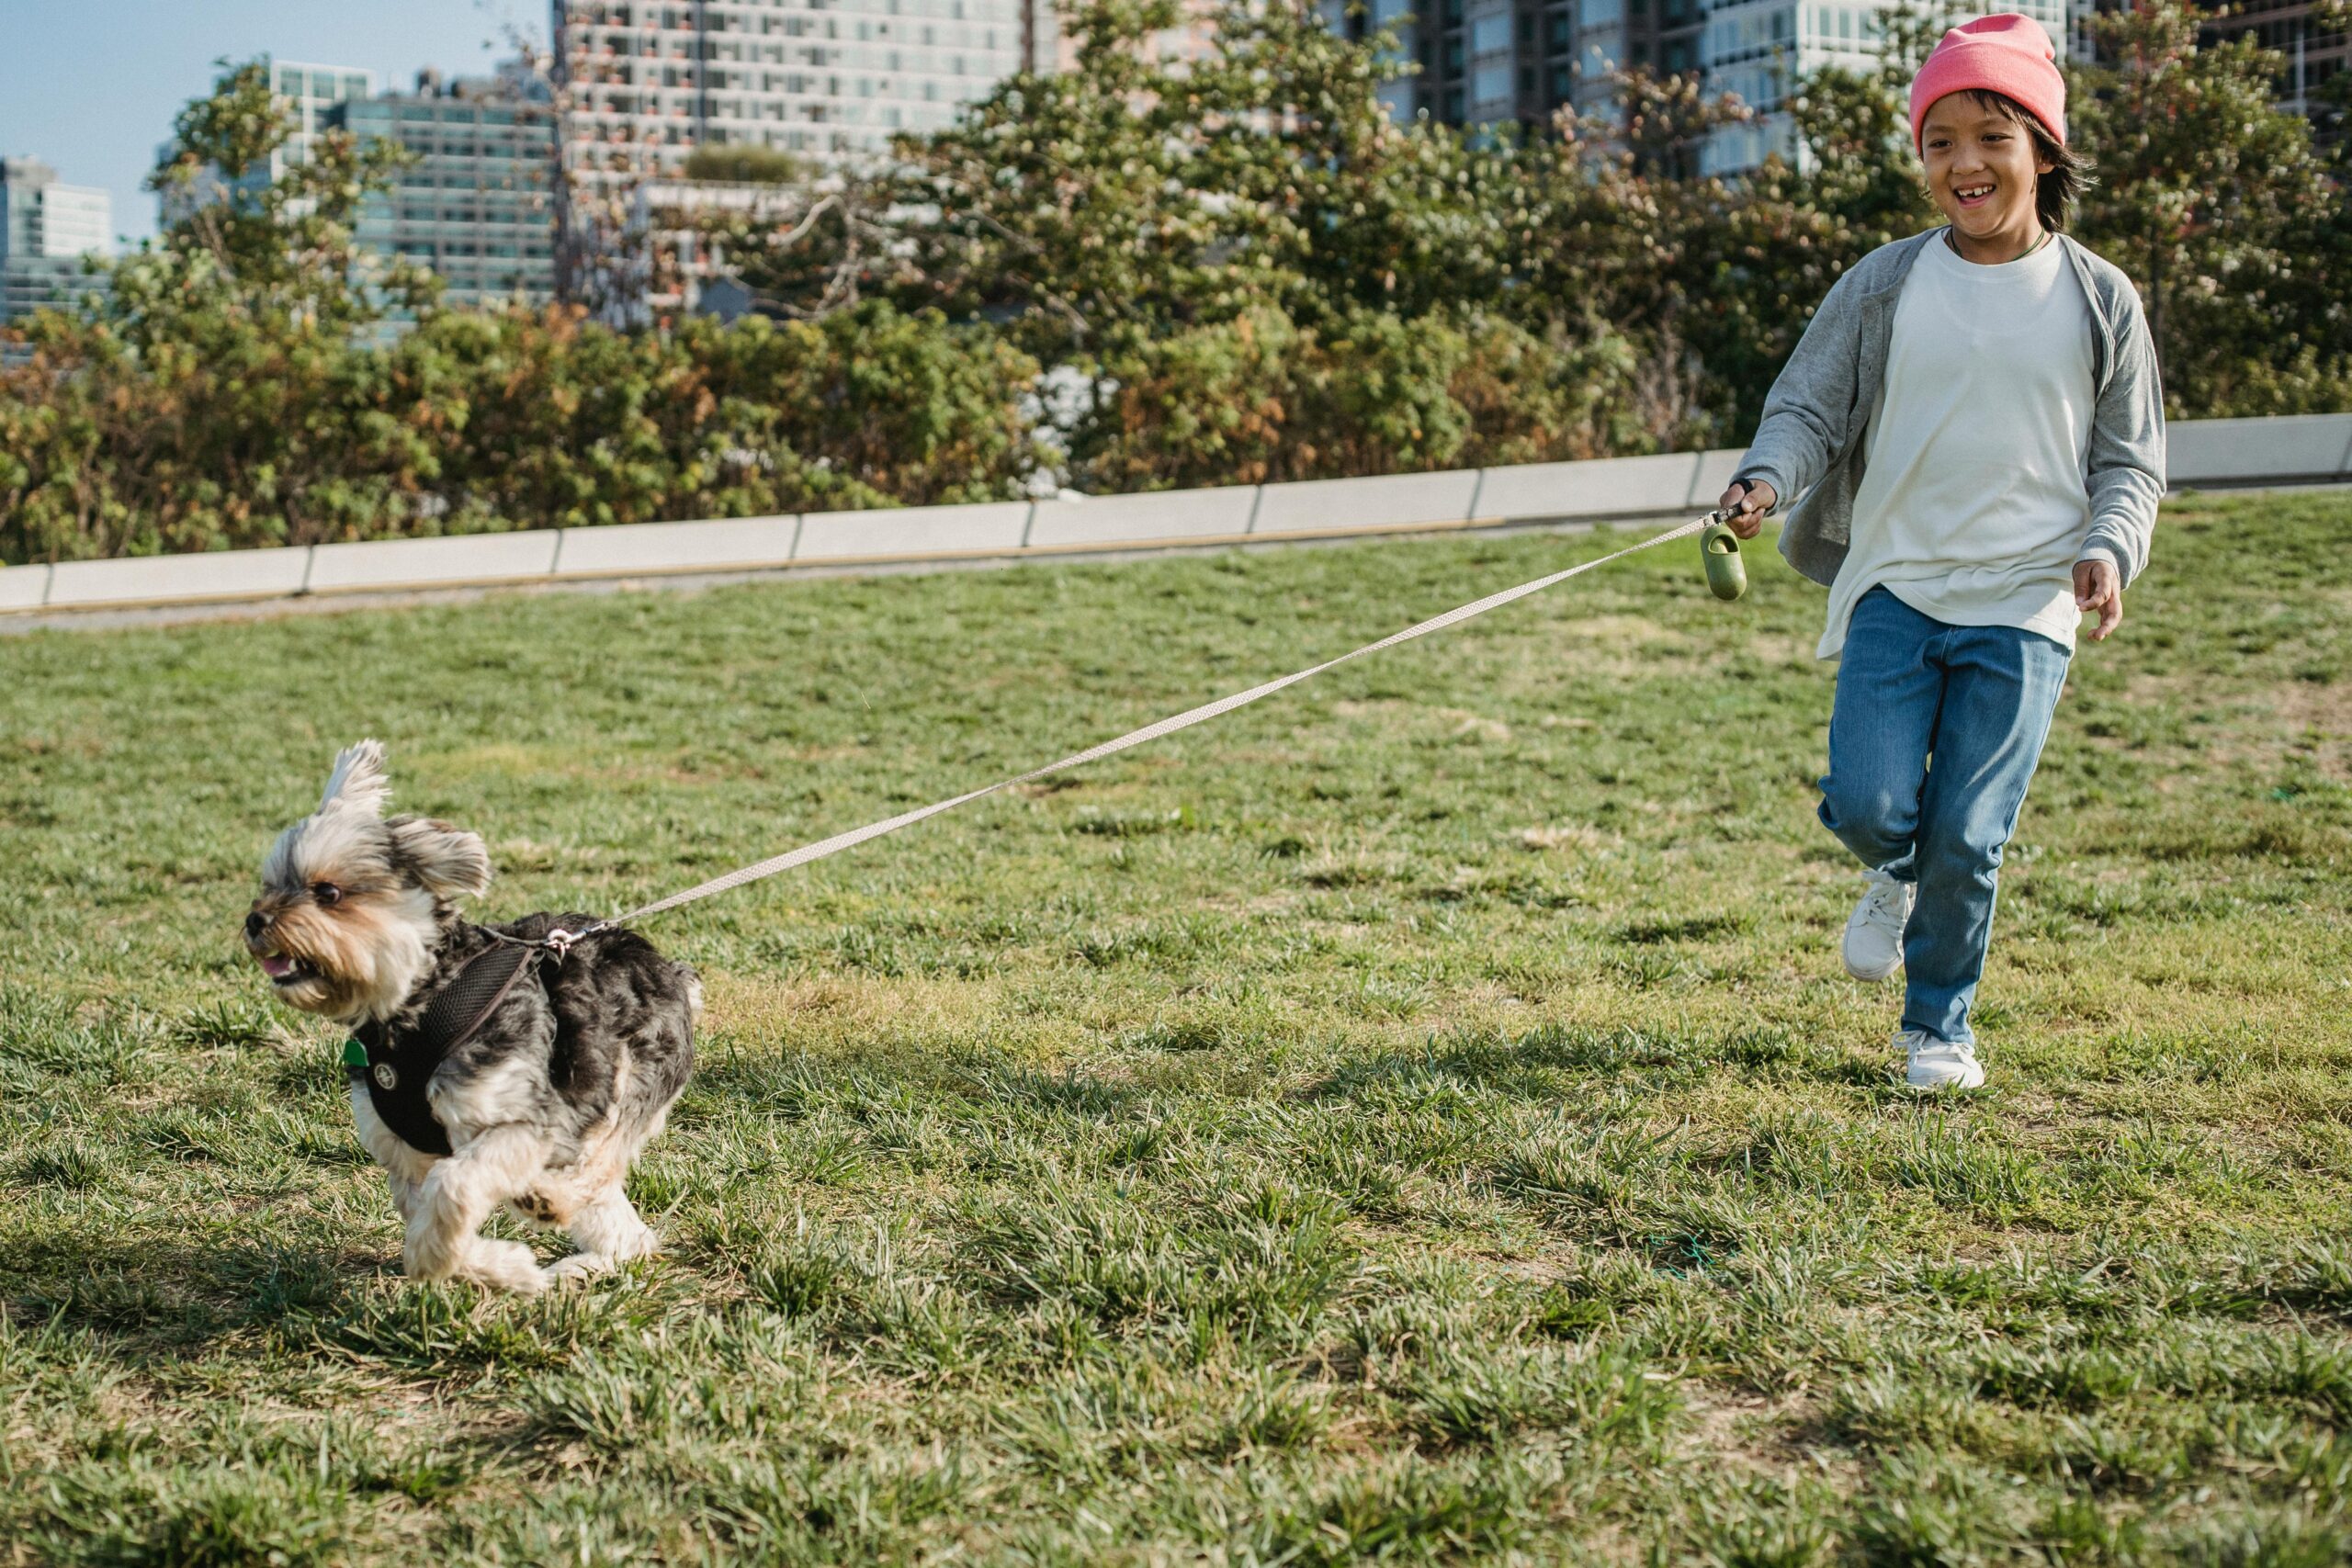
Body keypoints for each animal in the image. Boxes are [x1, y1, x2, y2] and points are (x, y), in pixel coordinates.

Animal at [256, 742, 700, 1297]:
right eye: (270, 886)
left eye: (329, 893)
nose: (255, 921)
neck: (418, 1004)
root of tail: (670, 969)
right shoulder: (403, 1156)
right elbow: (431, 1225)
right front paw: (509, 1270)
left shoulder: (520, 1119)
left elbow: (453, 1186)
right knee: (630, 1236)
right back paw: (580, 1265)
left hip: (623, 1084)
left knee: (596, 1166)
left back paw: (551, 1198)